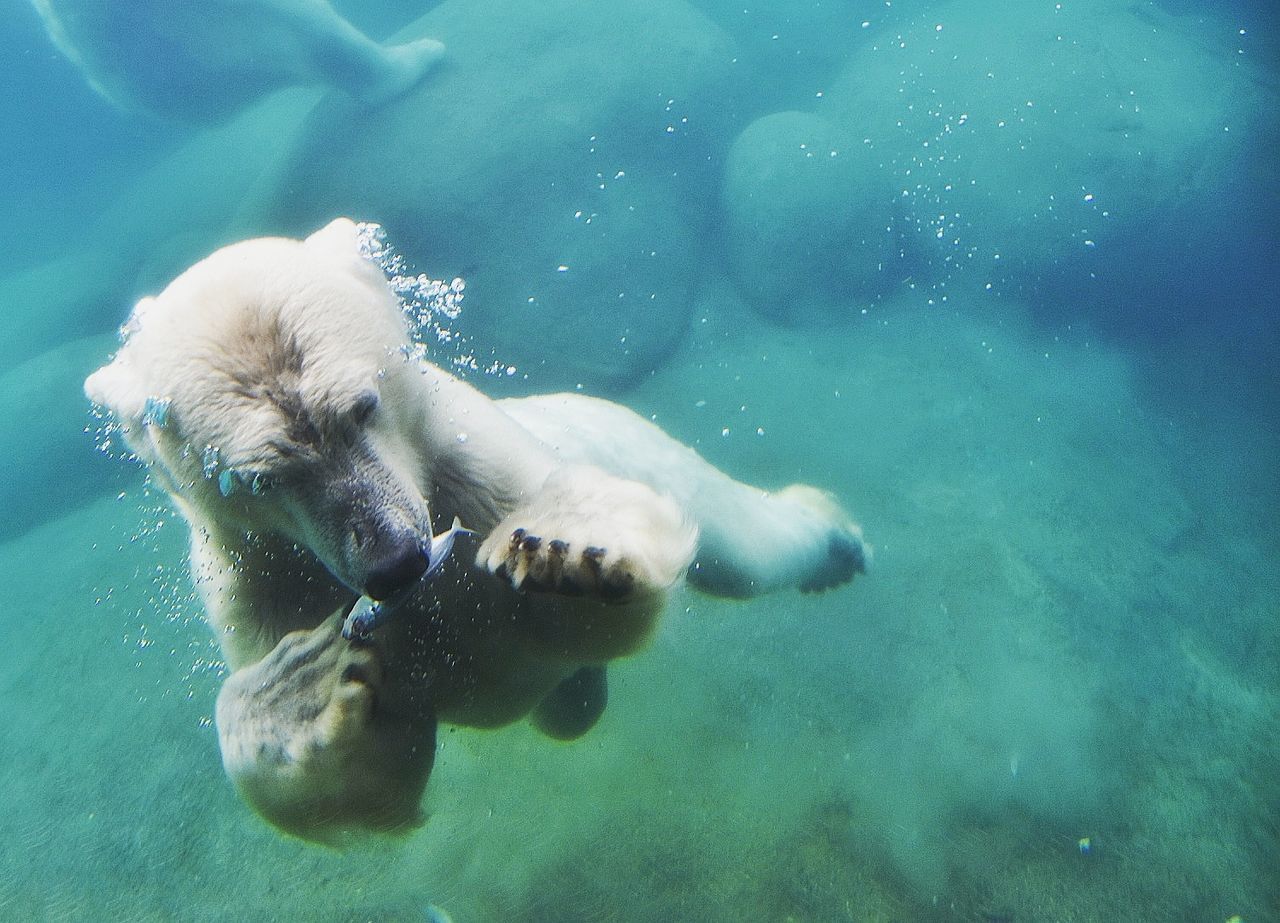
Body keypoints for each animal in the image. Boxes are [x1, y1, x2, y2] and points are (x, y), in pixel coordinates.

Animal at [82, 217, 870, 844]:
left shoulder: (478, 469)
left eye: (362, 407)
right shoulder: (259, 577)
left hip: (628, 440)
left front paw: (563, 555)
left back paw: (834, 539)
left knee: (744, 548)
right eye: (258, 480)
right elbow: (371, 776)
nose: (396, 562)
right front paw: (303, 682)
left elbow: (567, 585)